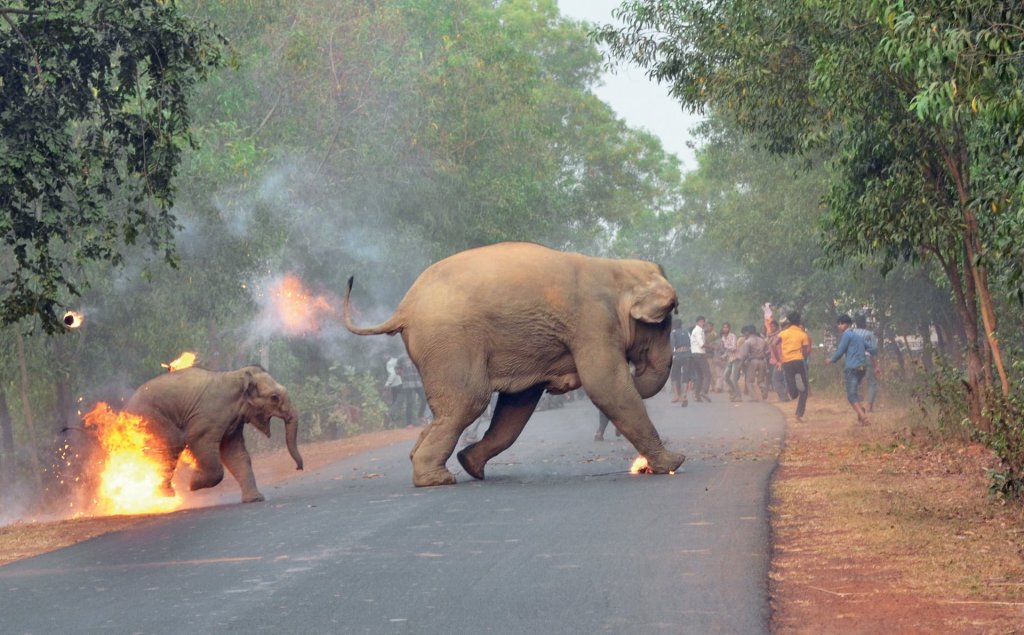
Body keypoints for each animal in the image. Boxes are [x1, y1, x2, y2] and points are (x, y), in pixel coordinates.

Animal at [122, 364, 301, 503]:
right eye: (274, 397)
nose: (299, 468)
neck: (237, 375)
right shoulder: (208, 417)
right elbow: (199, 442)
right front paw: (193, 483)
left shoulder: (233, 424)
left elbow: (236, 454)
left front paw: (255, 499)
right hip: (152, 418)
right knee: (171, 446)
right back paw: (165, 495)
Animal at [344, 241, 688, 485]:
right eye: (665, 323)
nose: (639, 370)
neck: (617, 268)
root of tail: (404, 308)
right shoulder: (593, 323)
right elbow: (606, 386)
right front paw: (674, 462)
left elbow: (518, 404)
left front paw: (471, 463)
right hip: (449, 341)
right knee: (470, 401)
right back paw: (436, 480)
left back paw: (440, 465)